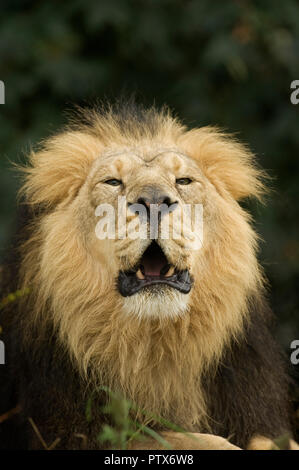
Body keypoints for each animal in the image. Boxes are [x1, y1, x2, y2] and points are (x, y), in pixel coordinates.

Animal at [0, 102, 292, 448]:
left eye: (184, 181)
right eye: (112, 182)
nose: (154, 202)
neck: (154, 343)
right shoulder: (62, 431)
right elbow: (178, 437)